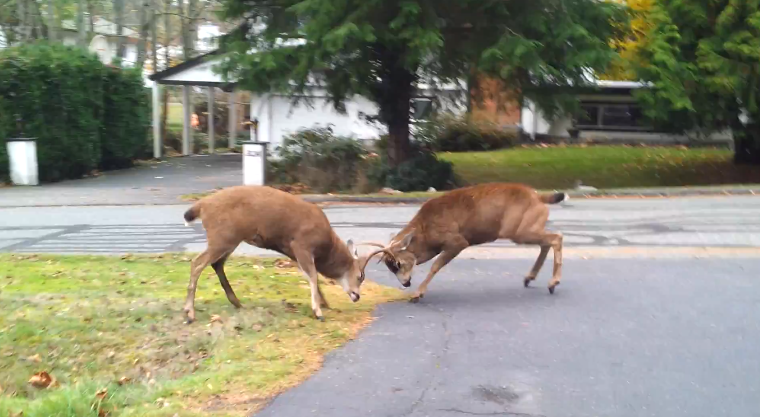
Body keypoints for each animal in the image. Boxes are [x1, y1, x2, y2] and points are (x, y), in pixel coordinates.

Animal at [180, 185, 388, 322]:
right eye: (360, 276)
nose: (357, 296)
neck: (326, 246)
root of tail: (201, 206)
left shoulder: (292, 251)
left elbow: (311, 276)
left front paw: (325, 303)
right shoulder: (301, 244)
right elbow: (313, 275)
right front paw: (318, 312)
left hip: (229, 239)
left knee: (216, 264)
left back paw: (237, 303)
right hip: (223, 236)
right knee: (197, 263)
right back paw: (189, 313)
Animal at [360, 184, 564, 300]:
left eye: (399, 263)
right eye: (390, 267)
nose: (406, 284)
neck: (426, 233)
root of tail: (539, 197)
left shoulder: (457, 241)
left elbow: (436, 265)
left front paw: (418, 294)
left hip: (517, 230)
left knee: (557, 237)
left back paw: (552, 283)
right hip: (527, 227)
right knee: (547, 241)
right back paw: (530, 278)